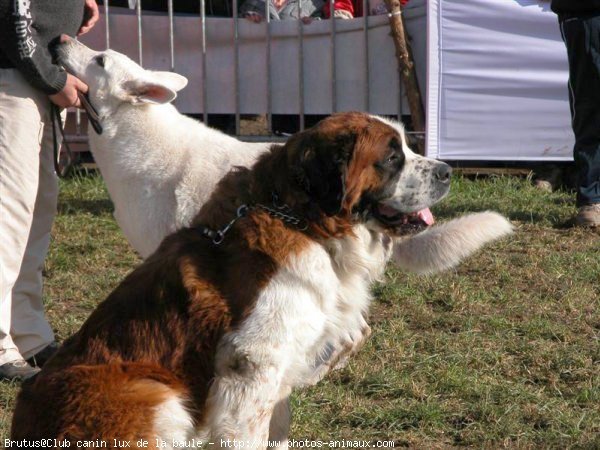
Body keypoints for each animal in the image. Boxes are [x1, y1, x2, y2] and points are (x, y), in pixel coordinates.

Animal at [10, 113, 510, 446]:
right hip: (152, 392)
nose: (447, 171)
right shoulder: (251, 366)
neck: (305, 221)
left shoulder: (282, 367)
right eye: (391, 156)